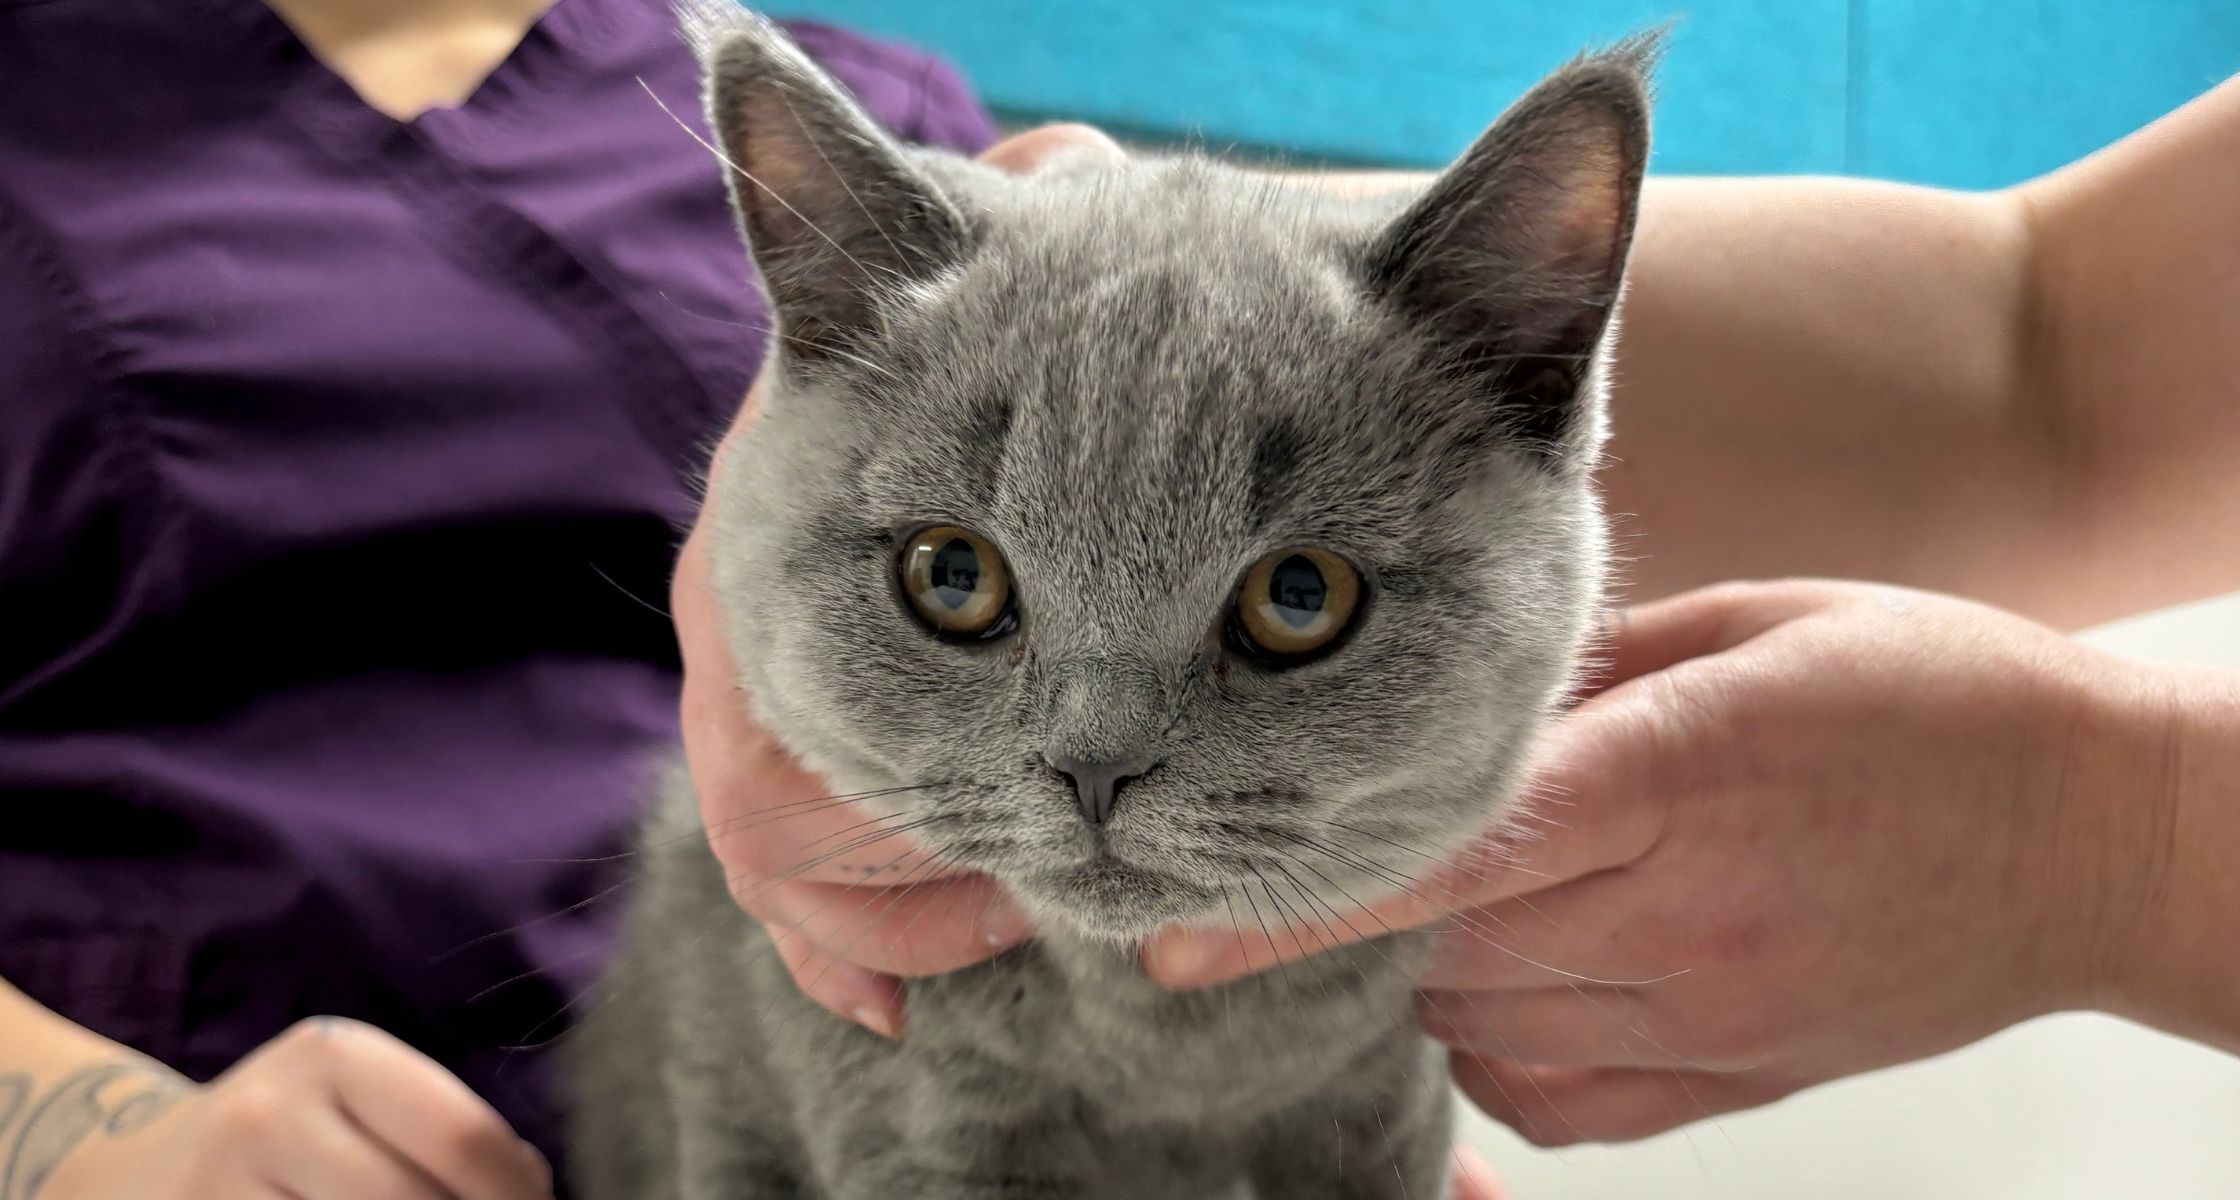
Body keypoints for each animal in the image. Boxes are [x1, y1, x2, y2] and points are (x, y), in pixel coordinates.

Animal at [568, 11, 1657, 1200]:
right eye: (952, 574)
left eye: (1300, 596)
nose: (1095, 766)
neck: (1162, 1054)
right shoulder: (912, 1127)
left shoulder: (1383, 1109)